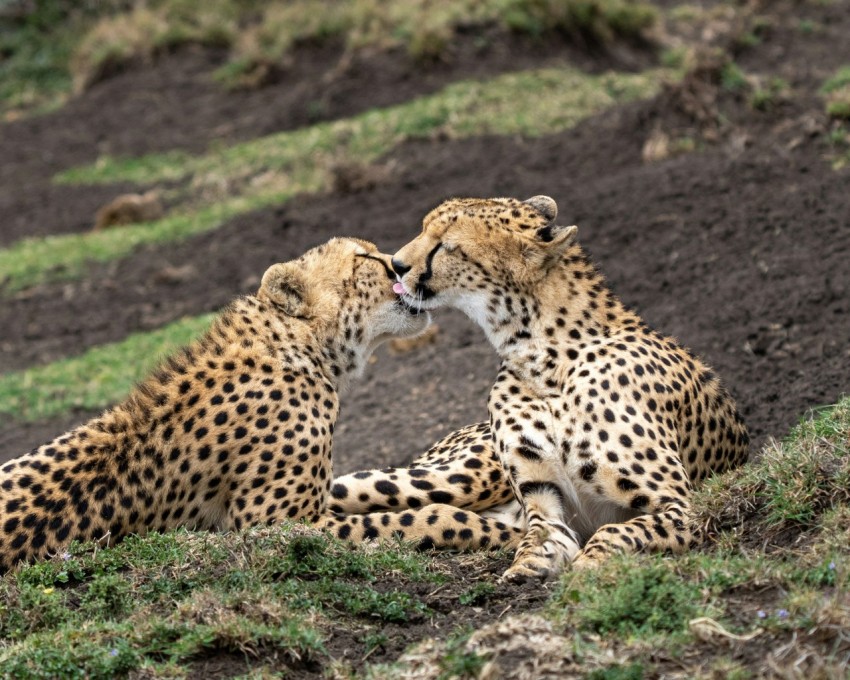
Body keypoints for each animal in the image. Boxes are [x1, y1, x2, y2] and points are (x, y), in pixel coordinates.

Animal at [0, 239, 520, 572]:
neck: (297, 345)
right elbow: (417, 518)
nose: (398, 264)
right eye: (365, 258)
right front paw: (504, 534)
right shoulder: (269, 526)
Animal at [388, 194, 744, 580]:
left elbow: (616, 529)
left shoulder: (684, 506)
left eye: (446, 245)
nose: (396, 265)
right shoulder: (544, 501)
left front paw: (588, 567)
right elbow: (538, 538)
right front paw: (528, 567)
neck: (542, 359)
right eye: (424, 228)